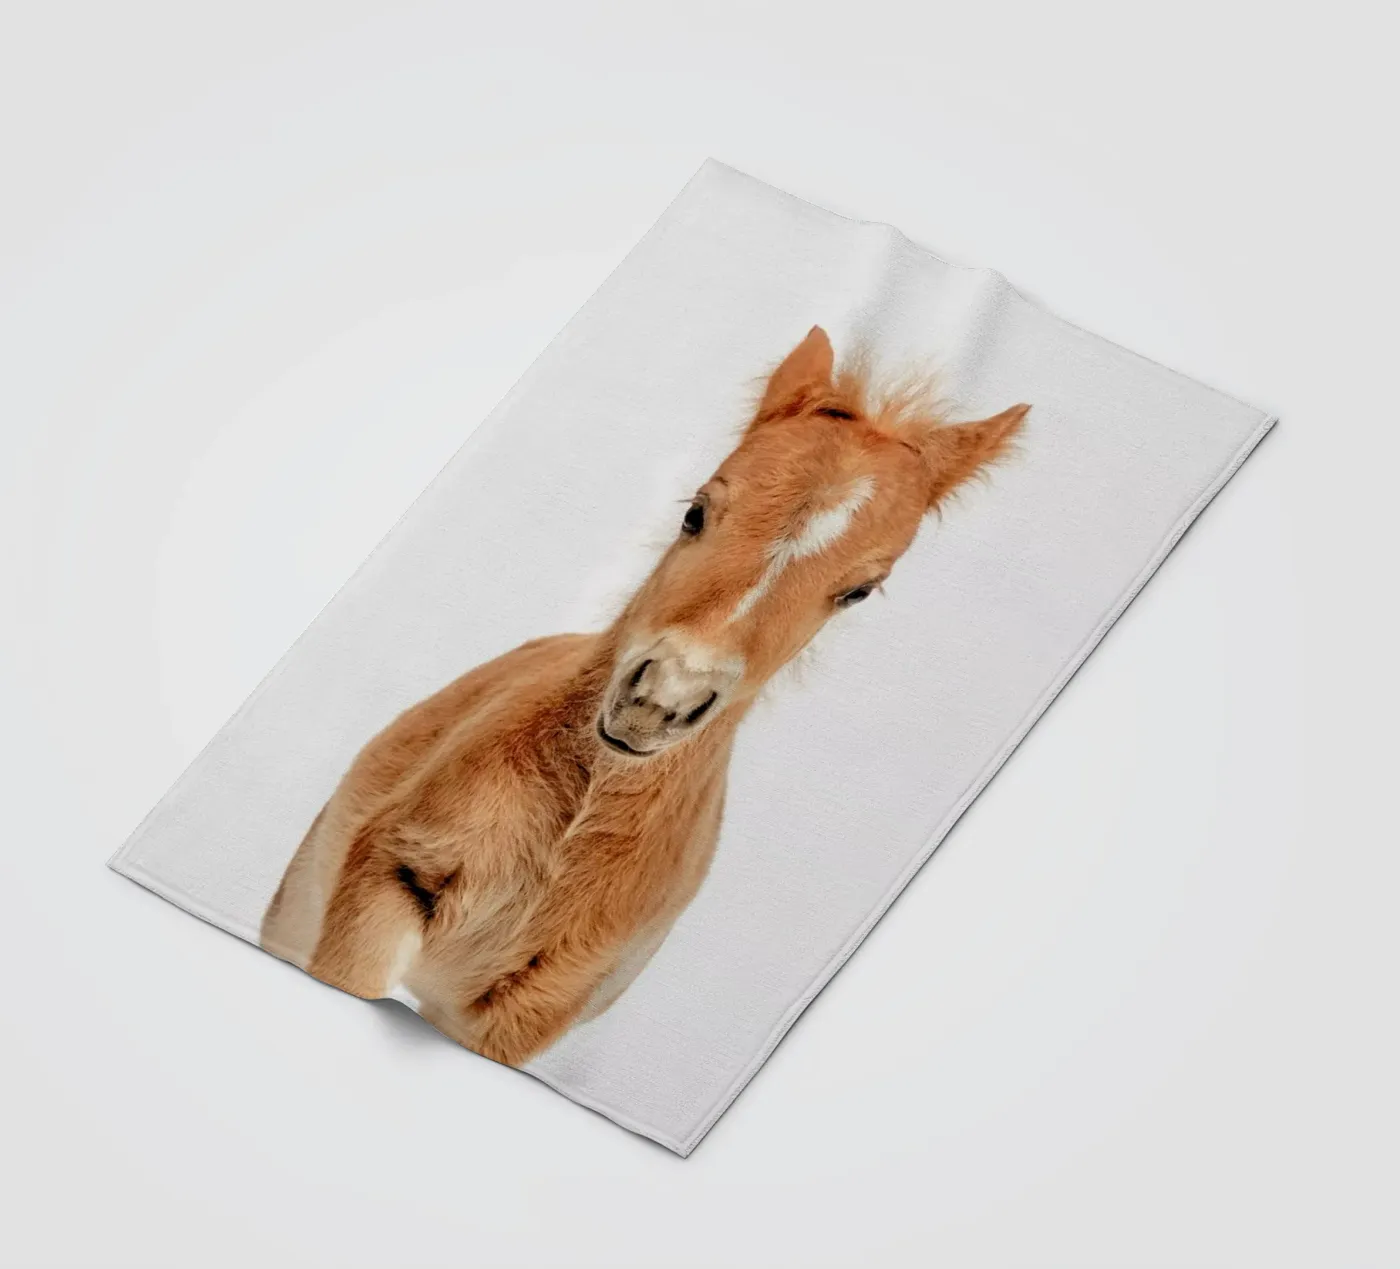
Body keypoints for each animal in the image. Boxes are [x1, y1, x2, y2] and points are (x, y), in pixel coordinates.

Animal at [260, 326, 1029, 1065]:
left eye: (858, 591)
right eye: (696, 510)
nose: (660, 700)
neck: (570, 829)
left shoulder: (536, 1008)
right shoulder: (387, 876)